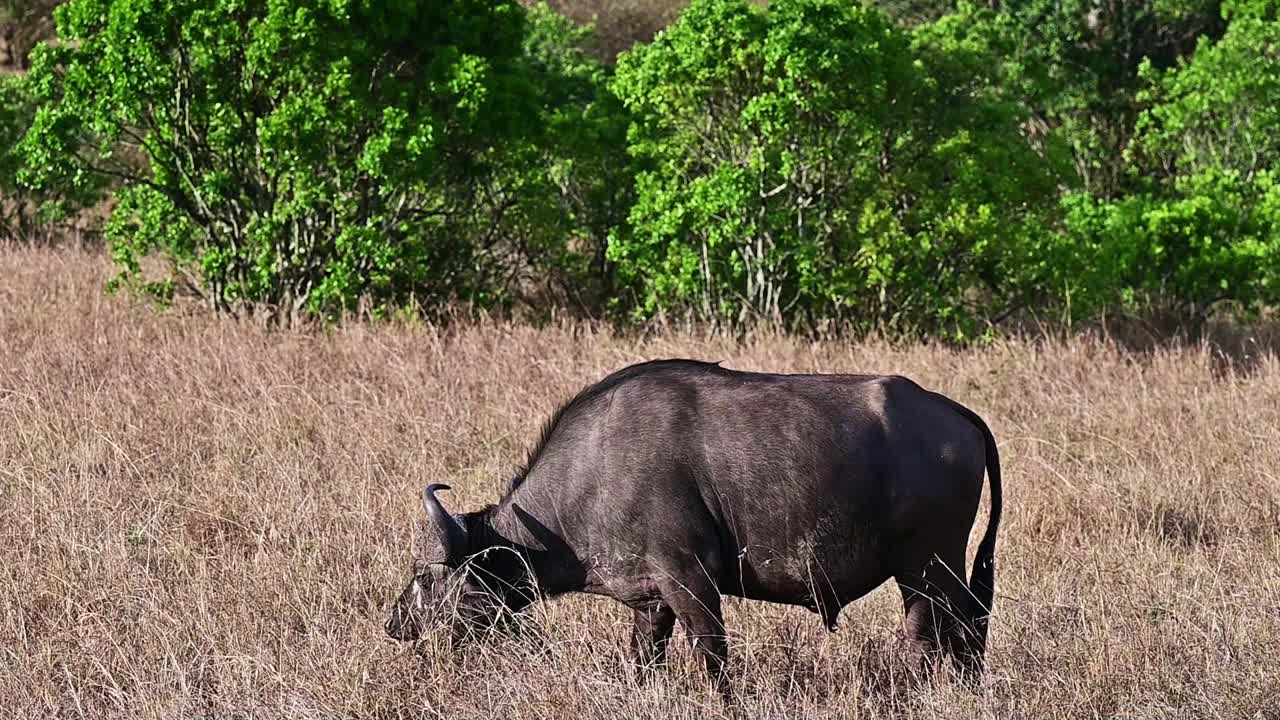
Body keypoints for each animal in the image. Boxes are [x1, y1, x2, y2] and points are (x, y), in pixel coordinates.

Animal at [381, 358, 998, 691]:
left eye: (425, 576)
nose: (394, 625)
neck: (595, 470)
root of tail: (953, 412)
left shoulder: (691, 584)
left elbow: (714, 659)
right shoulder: (651, 602)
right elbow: (643, 663)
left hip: (928, 569)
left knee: (936, 639)